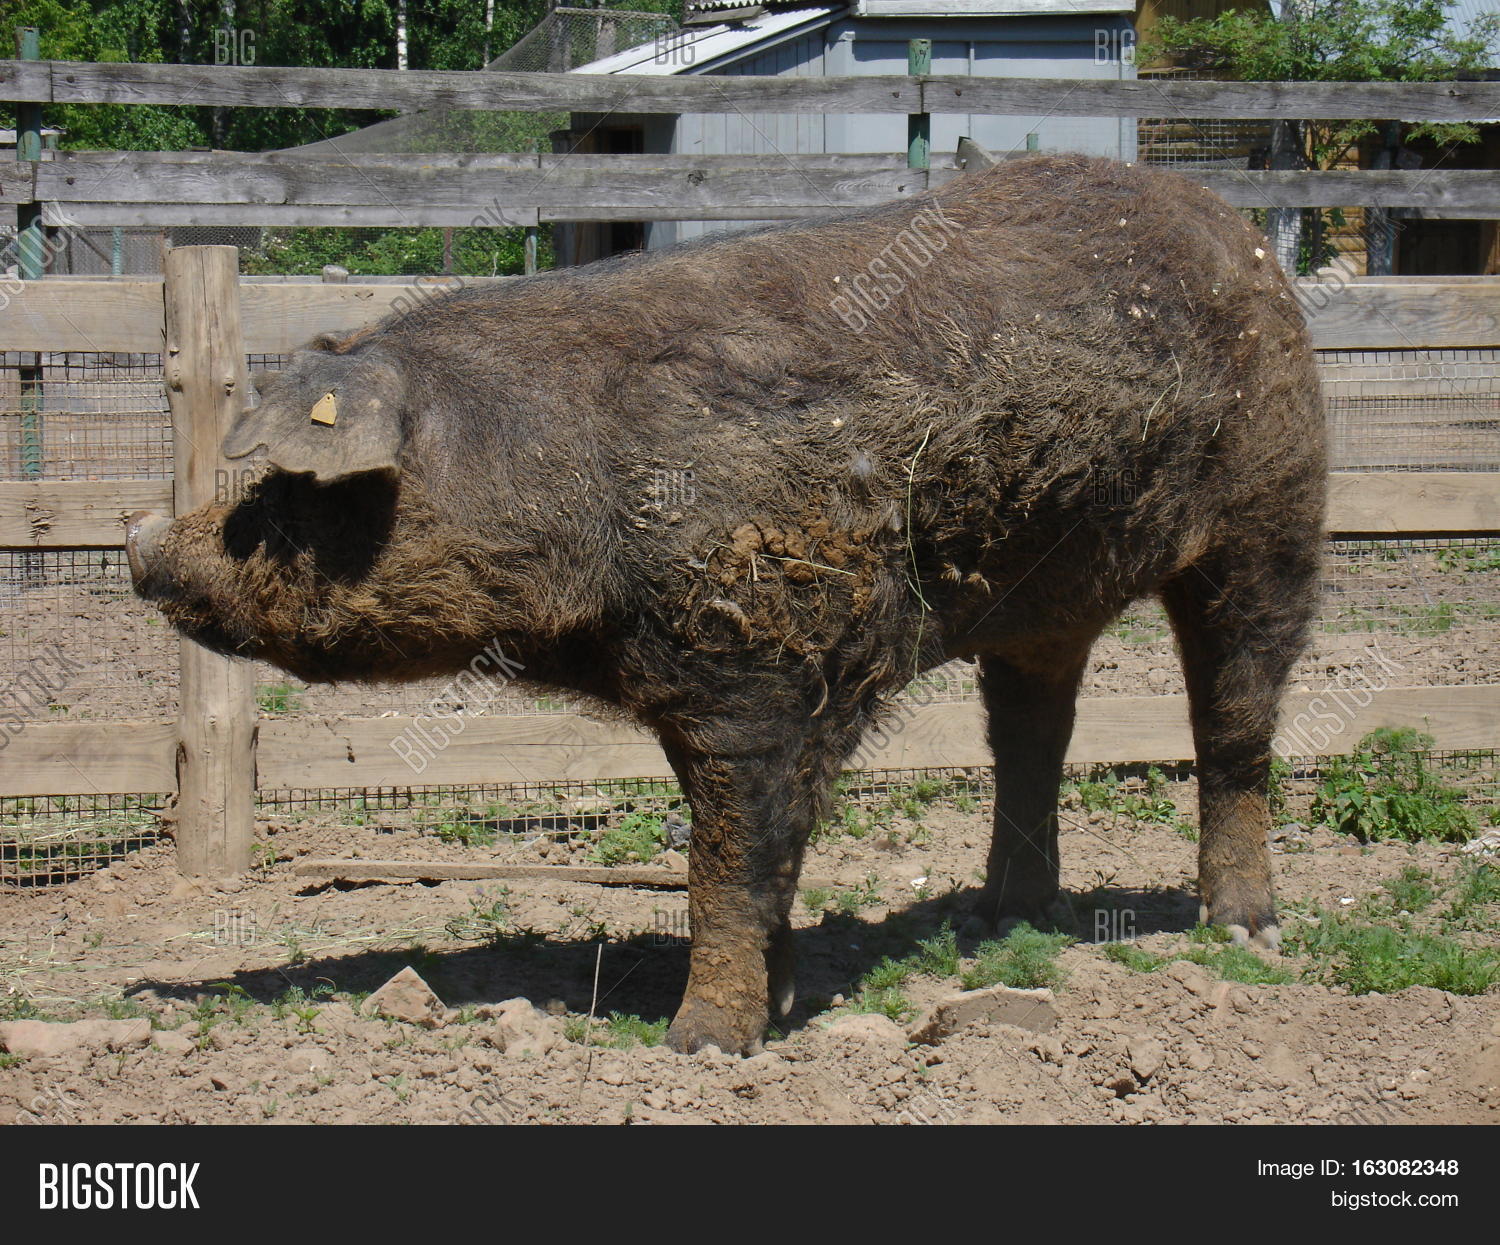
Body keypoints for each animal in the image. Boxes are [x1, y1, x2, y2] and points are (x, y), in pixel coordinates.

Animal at [128, 154, 1326, 1055]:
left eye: (287, 491)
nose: (140, 541)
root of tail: (1244, 236)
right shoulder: (696, 692)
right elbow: (755, 853)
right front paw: (781, 1003)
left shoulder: (761, 672)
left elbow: (728, 863)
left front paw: (702, 1045)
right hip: (1039, 601)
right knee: (1034, 733)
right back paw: (1005, 919)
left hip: (1273, 513)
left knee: (1236, 717)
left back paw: (1243, 932)